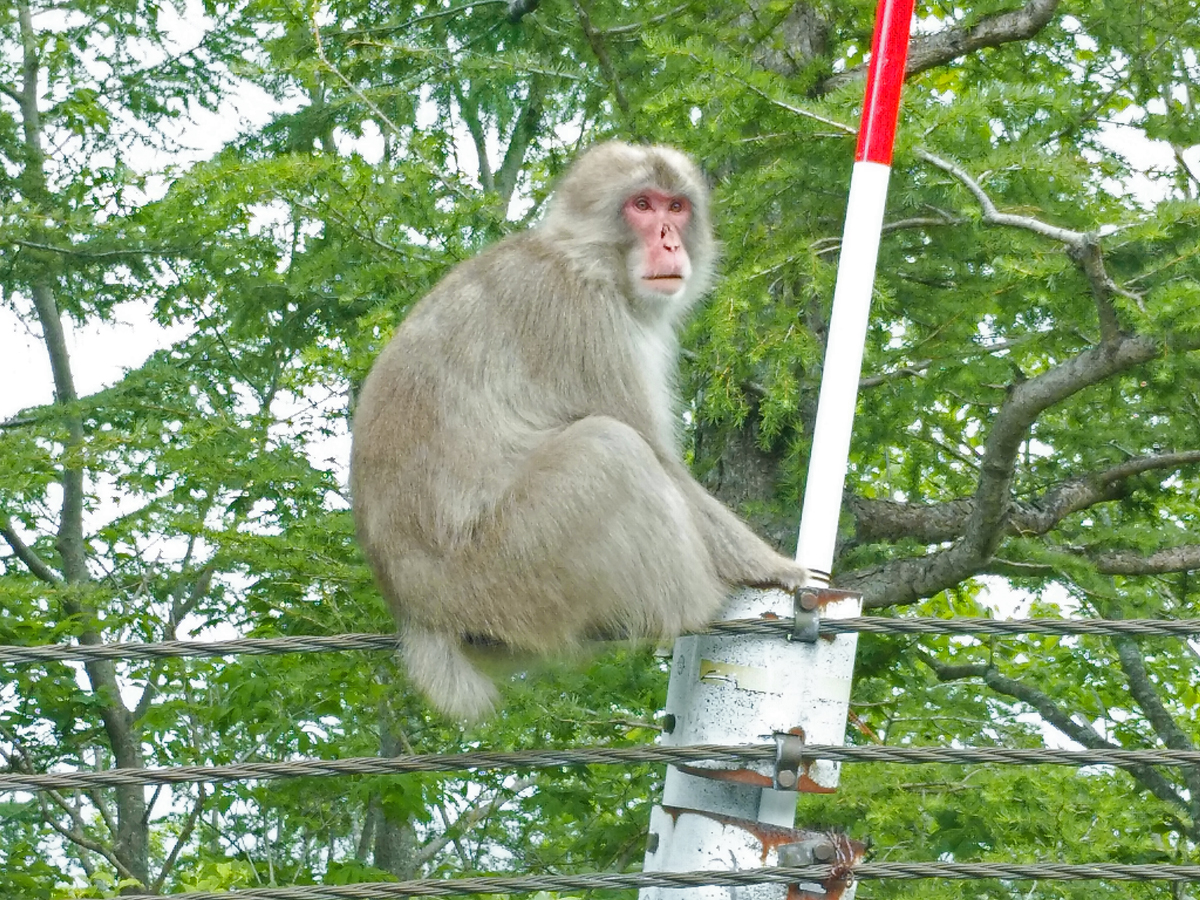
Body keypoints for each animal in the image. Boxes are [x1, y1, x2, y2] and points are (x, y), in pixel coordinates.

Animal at [350, 141, 811, 724]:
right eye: (641, 205)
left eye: (676, 206)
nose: (669, 239)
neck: (586, 257)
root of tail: (415, 612)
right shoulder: (585, 316)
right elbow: (659, 459)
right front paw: (780, 571)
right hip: (510, 565)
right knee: (610, 450)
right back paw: (697, 605)